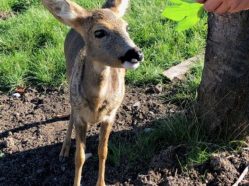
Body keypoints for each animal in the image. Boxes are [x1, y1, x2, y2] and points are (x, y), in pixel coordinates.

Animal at [42, 0, 144, 185]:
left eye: (127, 27)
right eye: (99, 32)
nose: (137, 54)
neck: (97, 101)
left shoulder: (111, 115)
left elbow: (103, 151)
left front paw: (101, 182)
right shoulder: (80, 116)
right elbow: (80, 157)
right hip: (69, 77)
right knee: (71, 111)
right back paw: (64, 150)